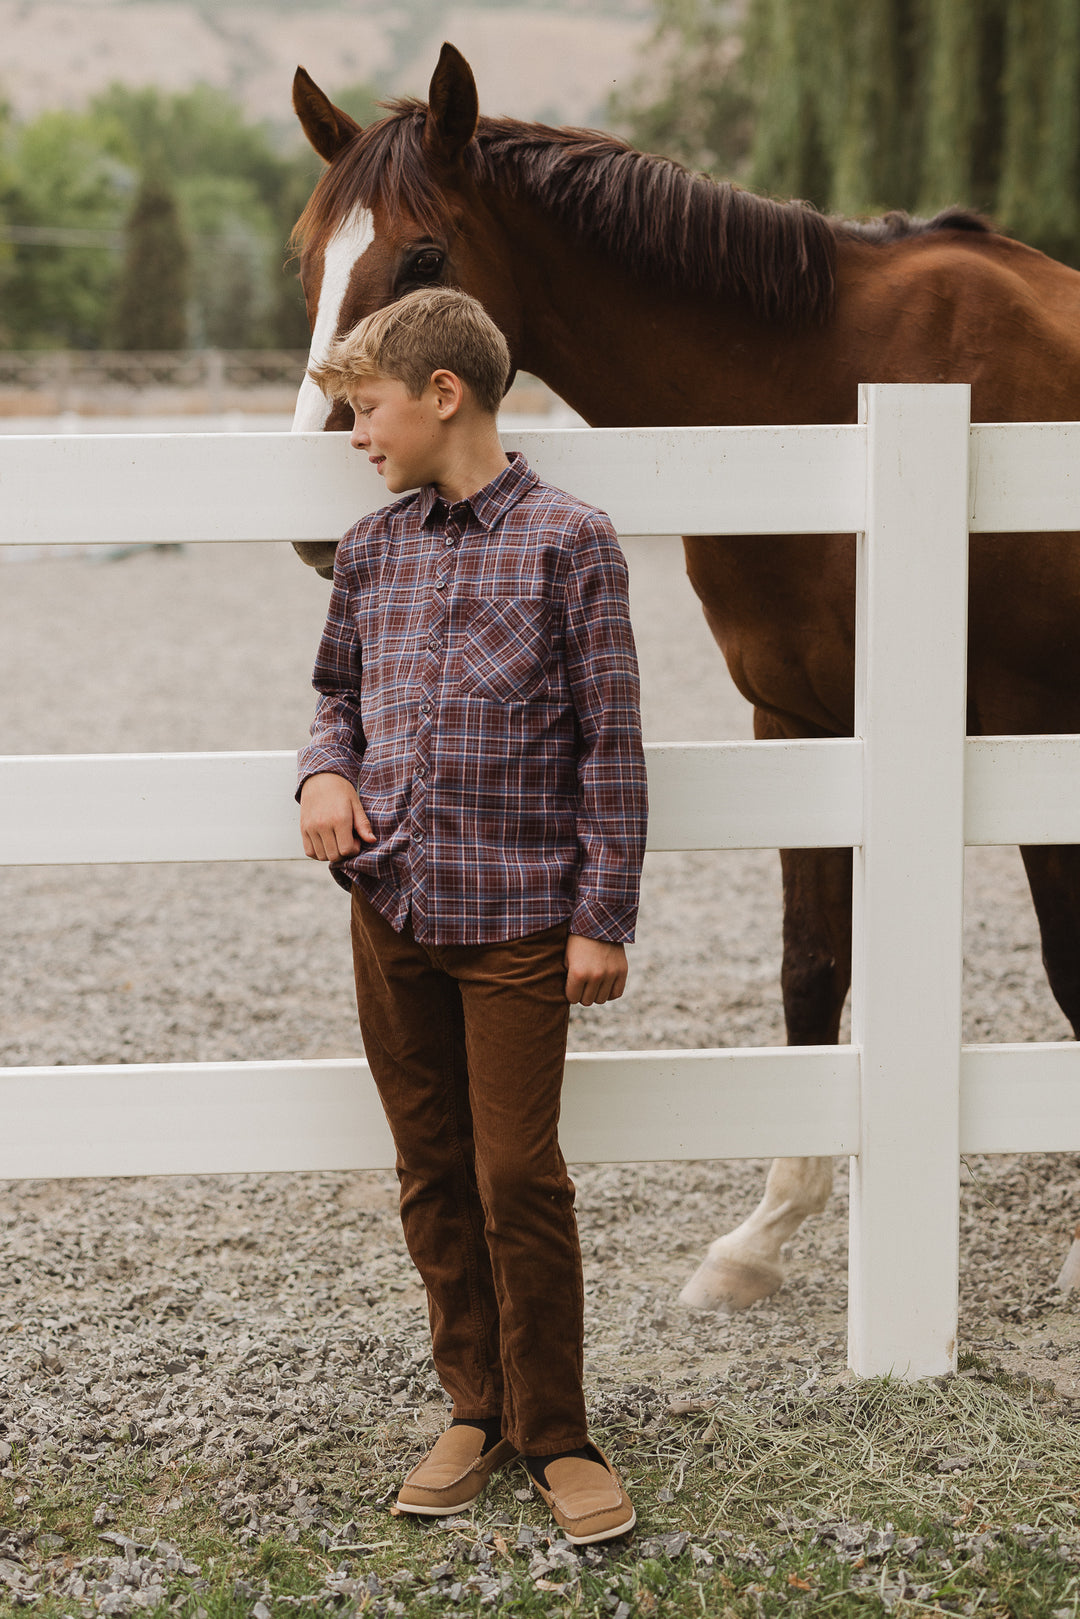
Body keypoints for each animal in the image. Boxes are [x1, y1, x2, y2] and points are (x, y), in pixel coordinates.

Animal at [289, 44, 1080, 1308]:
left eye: (421, 256)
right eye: (308, 258)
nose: (329, 509)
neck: (833, 392)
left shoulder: (1028, 727)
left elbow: (1067, 963)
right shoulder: (800, 721)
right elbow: (812, 968)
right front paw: (760, 1236)